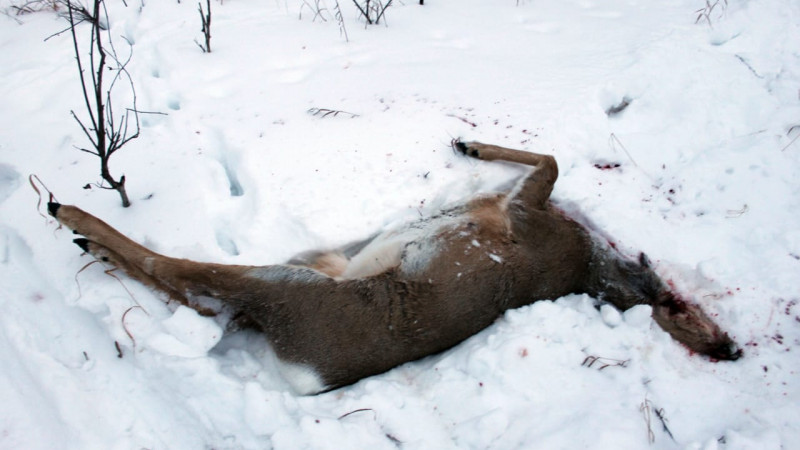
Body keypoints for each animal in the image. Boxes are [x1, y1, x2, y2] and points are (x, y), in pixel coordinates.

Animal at [47, 141, 740, 394]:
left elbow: (551, 157)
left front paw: (470, 142)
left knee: (178, 269)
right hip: (312, 266)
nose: (729, 346)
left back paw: (70, 215)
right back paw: (83, 237)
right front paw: (466, 142)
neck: (590, 265)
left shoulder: (524, 211)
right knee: (192, 292)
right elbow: (548, 156)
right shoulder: (522, 209)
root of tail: (313, 375)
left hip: (290, 286)